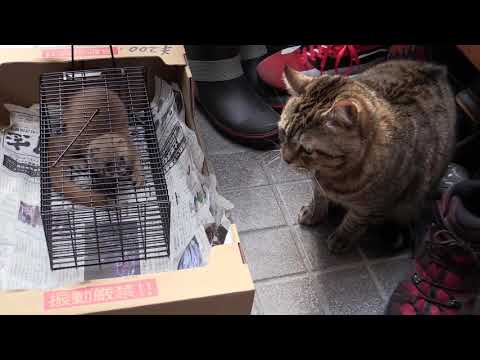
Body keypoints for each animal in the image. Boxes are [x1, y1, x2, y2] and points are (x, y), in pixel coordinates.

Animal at [282, 59, 458, 253]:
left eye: (307, 150)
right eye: (283, 133)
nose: (285, 159)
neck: (334, 172)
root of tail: (438, 68)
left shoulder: (371, 205)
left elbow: (354, 221)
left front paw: (342, 238)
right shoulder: (318, 185)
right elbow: (319, 198)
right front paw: (313, 213)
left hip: (414, 197)